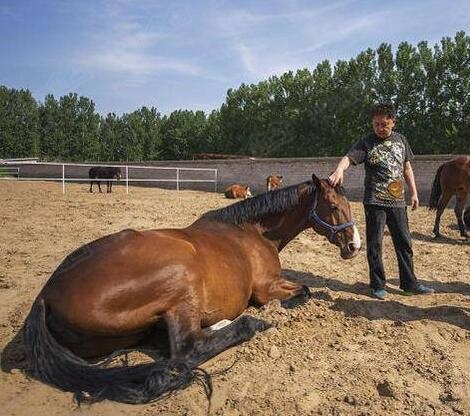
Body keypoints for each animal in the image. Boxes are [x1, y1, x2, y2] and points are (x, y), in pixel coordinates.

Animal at [22, 175, 362, 404]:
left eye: (348, 205)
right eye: (333, 206)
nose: (354, 245)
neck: (253, 232)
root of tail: (46, 296)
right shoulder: (266, 289)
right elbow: (304, 290)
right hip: (180, 279)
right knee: (190, 348)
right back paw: (247, 324)